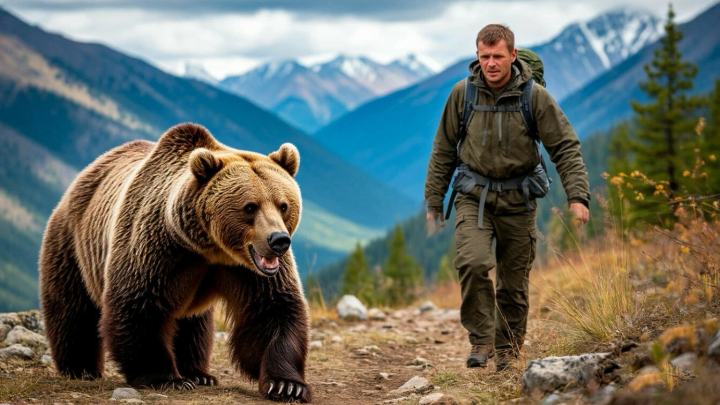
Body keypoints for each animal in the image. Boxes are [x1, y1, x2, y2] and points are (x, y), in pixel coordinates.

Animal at [39, 123, 312, 402]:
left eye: (283, 205)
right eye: (250, 207)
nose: (279, 240)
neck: (210, 247)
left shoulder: (246, 269)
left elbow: (272, 310)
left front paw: (286, 384)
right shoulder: (157, 247)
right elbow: (139, 304)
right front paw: (166, 378)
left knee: (194, 324)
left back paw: (198, 372)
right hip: (72, 244)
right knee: (73, 308)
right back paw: (80, 368)